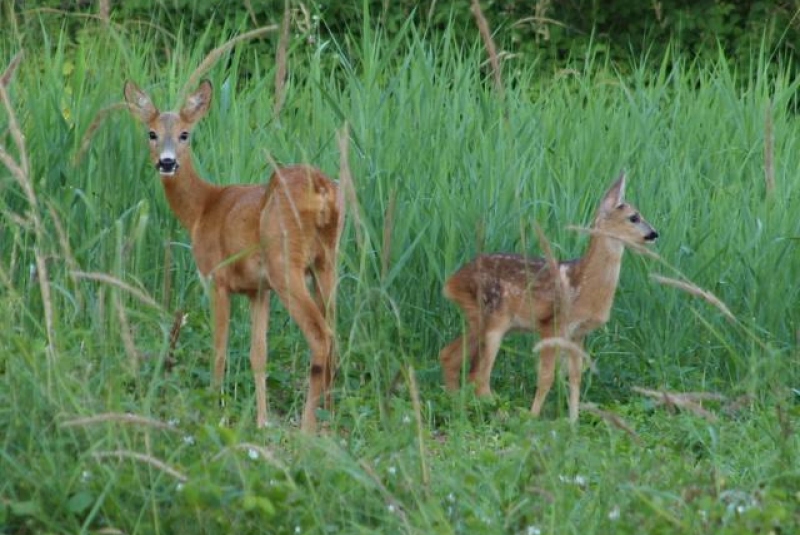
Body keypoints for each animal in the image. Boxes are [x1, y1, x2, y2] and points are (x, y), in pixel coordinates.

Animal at [123, 79, 342, 432]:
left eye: (185, 134)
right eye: (151, 133)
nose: (167, 162)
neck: (203, 209)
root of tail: (322, 189)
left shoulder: (217, 278)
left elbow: (219, 349)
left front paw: (215, 410)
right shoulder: (258, 289)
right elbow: (258, 353)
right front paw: (262, 421)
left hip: (286, 263)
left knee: (321, 335)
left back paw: (307, 428)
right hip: (327, 261)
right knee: (335, 334)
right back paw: (329, 418)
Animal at [438, 174, 656, 426]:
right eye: (634, 217)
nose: (654, 233)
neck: (581, 287)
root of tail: (451, 283)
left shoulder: (578, 333)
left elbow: (575, 376)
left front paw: (573, 421)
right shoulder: (551, 325)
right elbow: (546, 376)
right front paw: (533, 416)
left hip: (477, 319)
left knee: (449, 356)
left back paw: (456, 405)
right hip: (494, 317)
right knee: (478, 375)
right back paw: (502, 414)